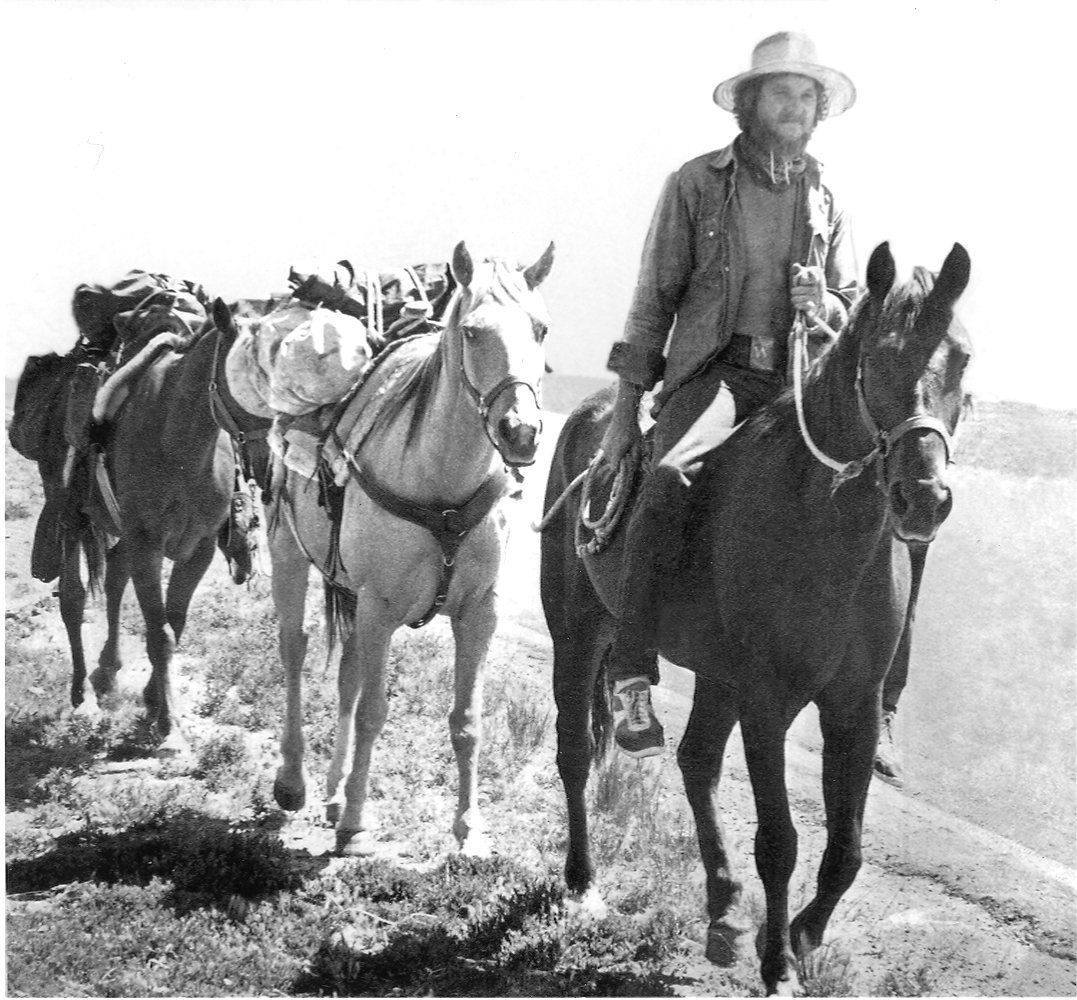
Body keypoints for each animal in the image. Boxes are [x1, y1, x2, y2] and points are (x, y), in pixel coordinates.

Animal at [11, 301, 271, 753]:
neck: (180, 441)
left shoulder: (199, 547)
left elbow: (174, 623)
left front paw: (153, 703)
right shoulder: (147, 544)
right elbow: (159, 632)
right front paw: (170, 728)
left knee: (115, 577)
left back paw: (107, 671)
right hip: (72, 517)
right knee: (74, 599)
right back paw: (83, 694)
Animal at [542, 240, 973, 990]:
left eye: (963, 358)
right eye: (877, 356)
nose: (923, 498)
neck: (820, 524)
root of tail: (590, 421)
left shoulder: (852, 704)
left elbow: (847, 847)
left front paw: (802, 934)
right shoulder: (768, 701)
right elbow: (780, 841)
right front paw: (778, 966)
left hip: (717, 677)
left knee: (695, 763)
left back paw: (723, 907)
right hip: (578, 631)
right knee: (574, 749)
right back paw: (583, 879)